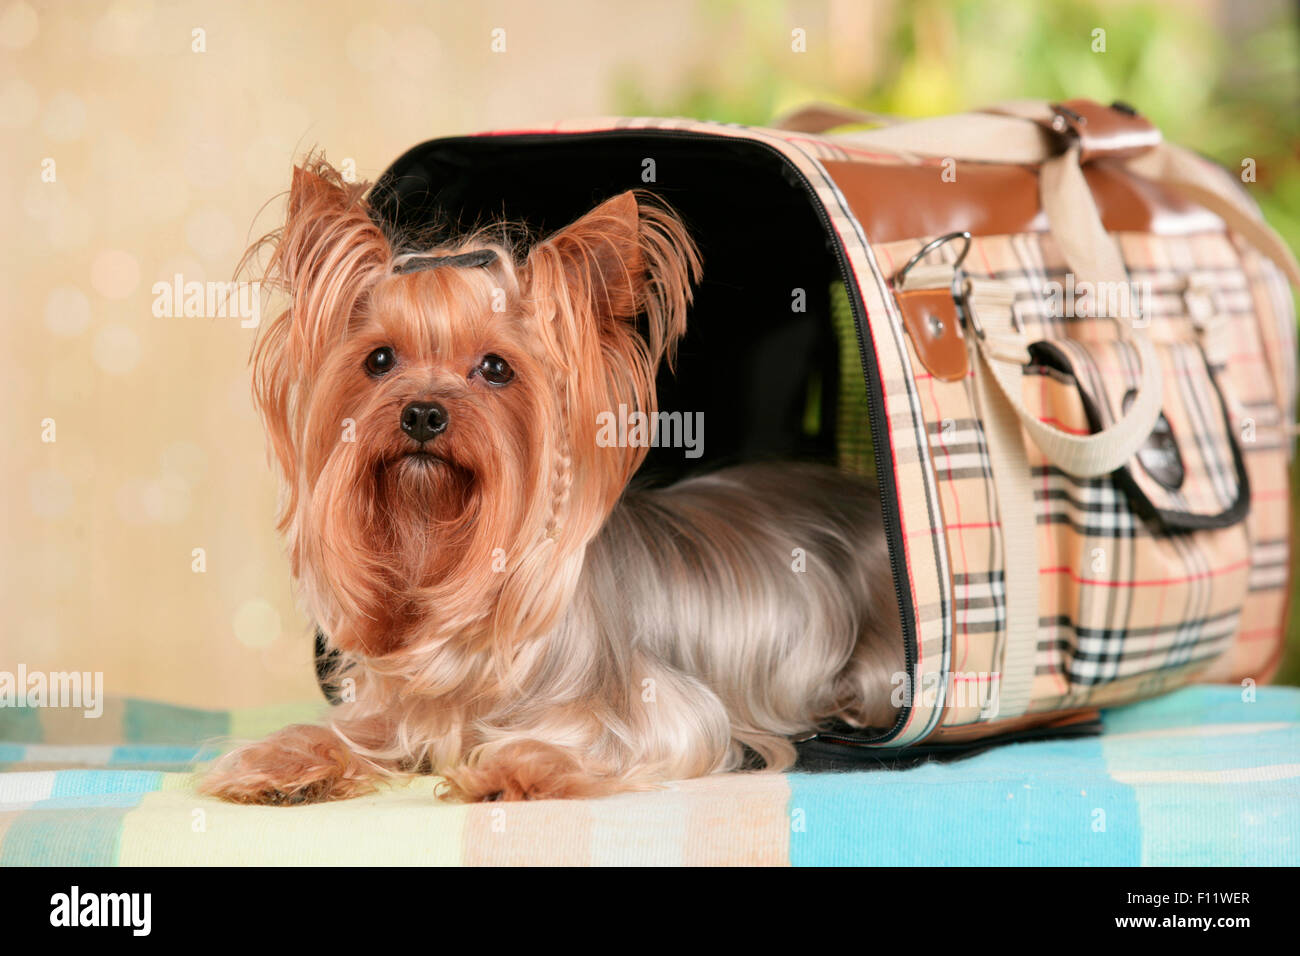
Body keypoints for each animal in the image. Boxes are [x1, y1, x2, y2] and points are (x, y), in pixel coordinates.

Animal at [202, 160, 899, 806]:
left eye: (496, 368)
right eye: (379, 359)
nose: (422, 413)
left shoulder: (665, 712)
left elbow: (612, 740)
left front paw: (514, 767)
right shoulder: (397, 708)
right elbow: (350, 729)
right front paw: (281, 762)